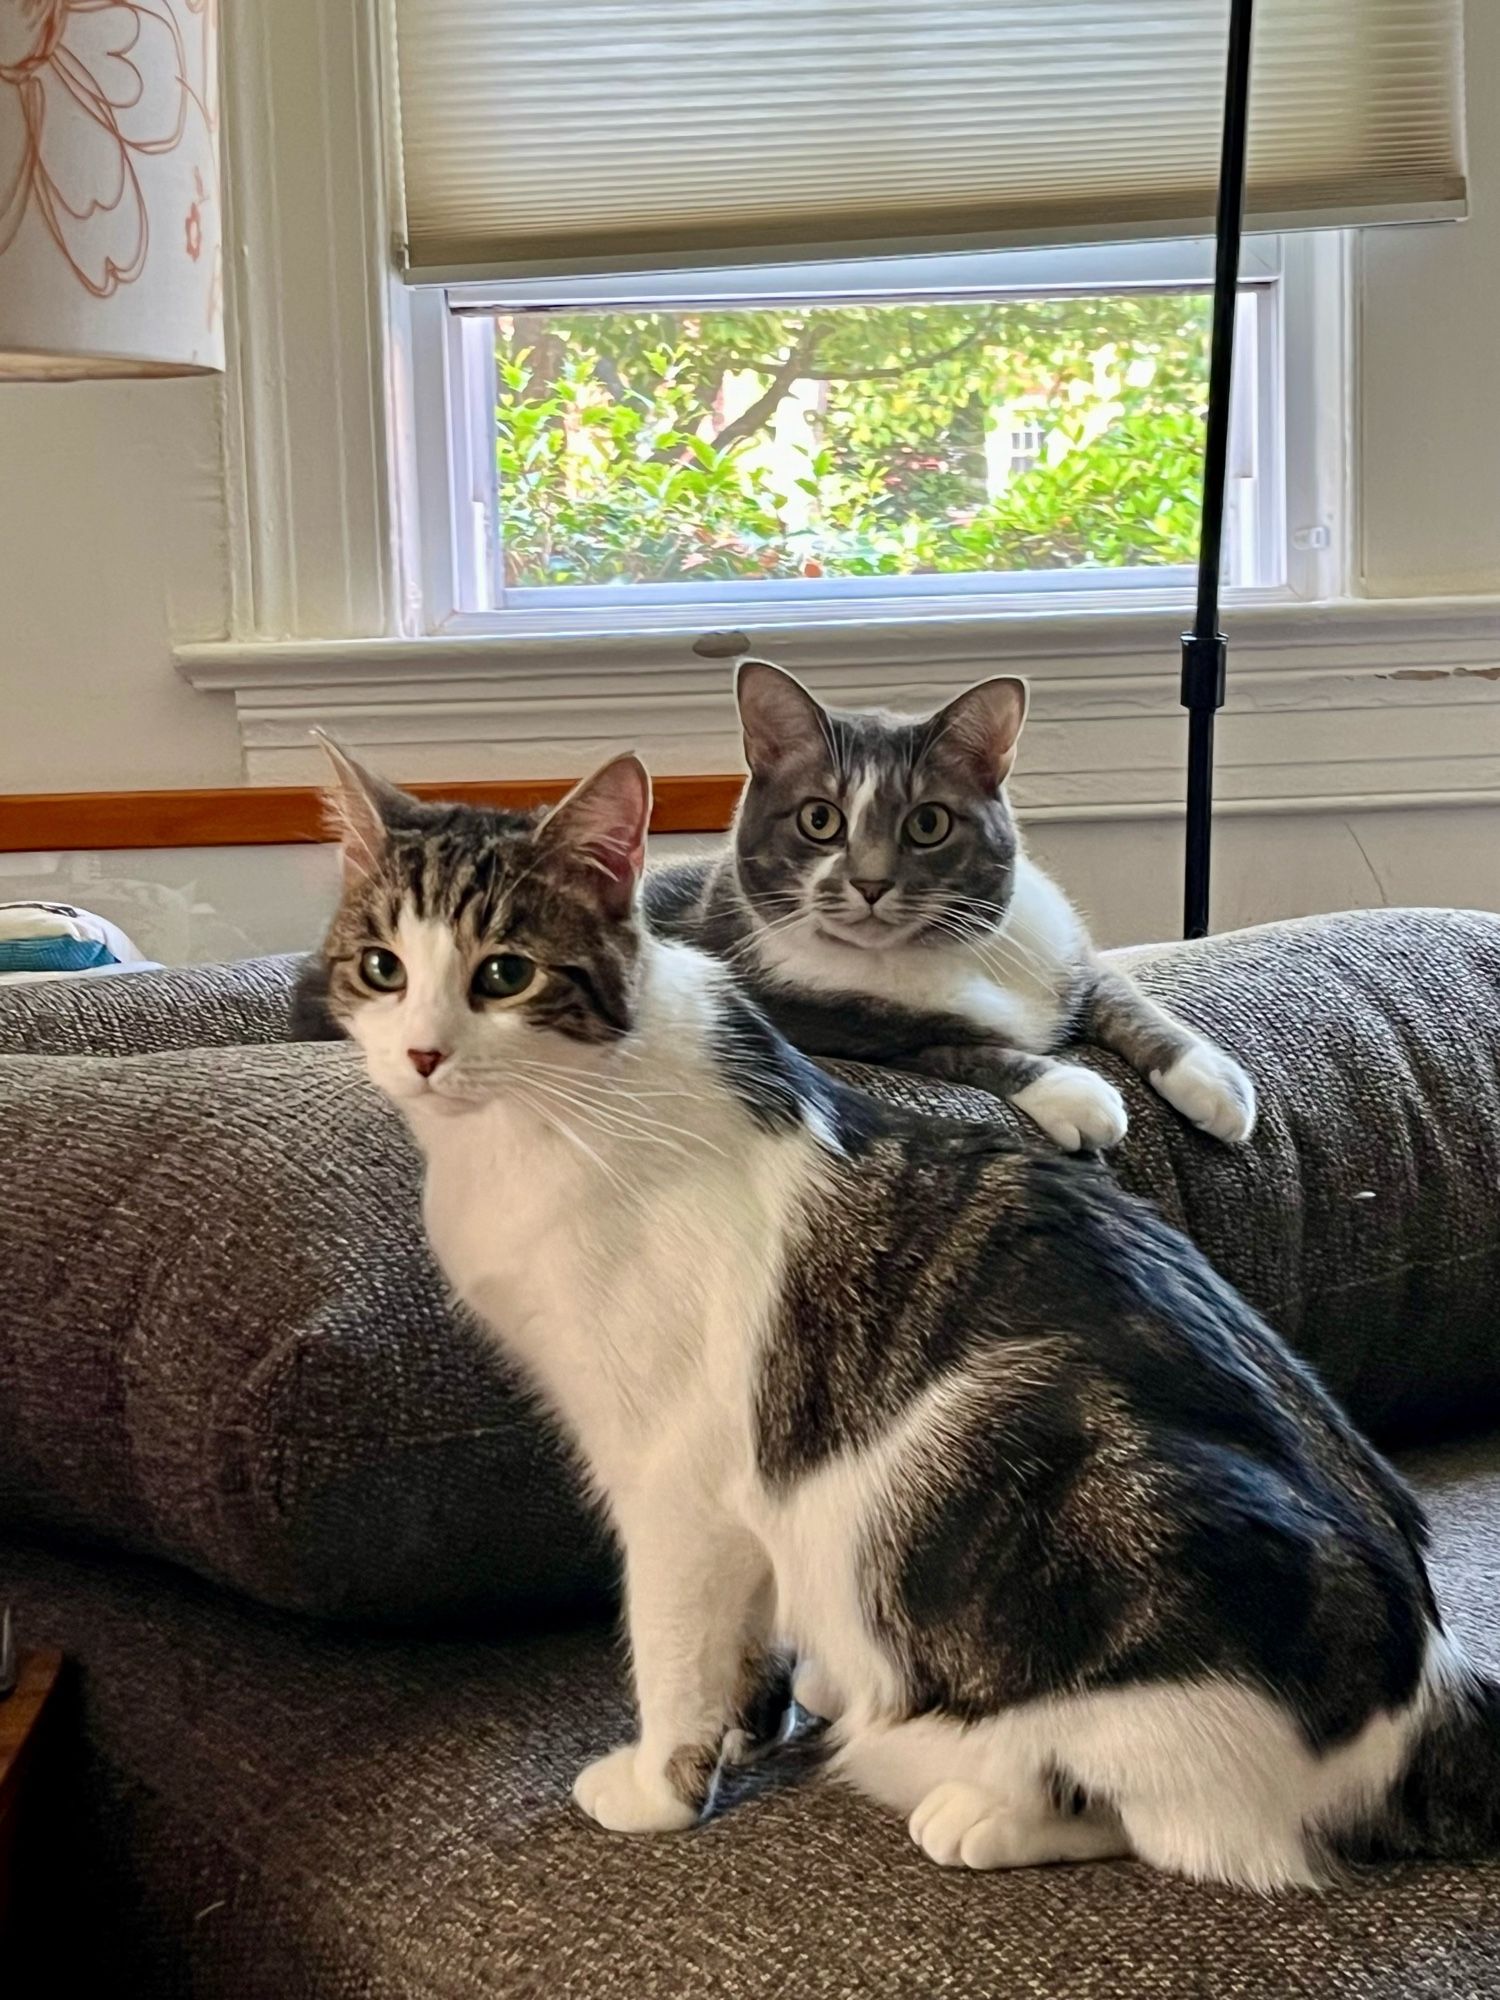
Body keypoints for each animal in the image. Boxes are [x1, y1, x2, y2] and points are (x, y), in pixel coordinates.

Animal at [308, 748, 1500, 1888]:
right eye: (382, 966)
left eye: (503, 972)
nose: (421, 1053)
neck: (549, 1116)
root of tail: (1431, 1701)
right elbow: (747, 1638)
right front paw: (753, 1725)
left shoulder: (671, 1472)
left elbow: (673, 1638)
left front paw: (660, 1783)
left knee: (1189, 1827)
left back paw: (984, 1807)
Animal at [648, 664, 1256, 1152]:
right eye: (818, 819)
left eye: (928, 822)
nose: (870, 883)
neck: (945, 948)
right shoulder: (824, 1025)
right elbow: (958, 1049)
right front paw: (1073, 1091)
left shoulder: (1068, 954)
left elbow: (1129, 1001)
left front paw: (1214, 1080)